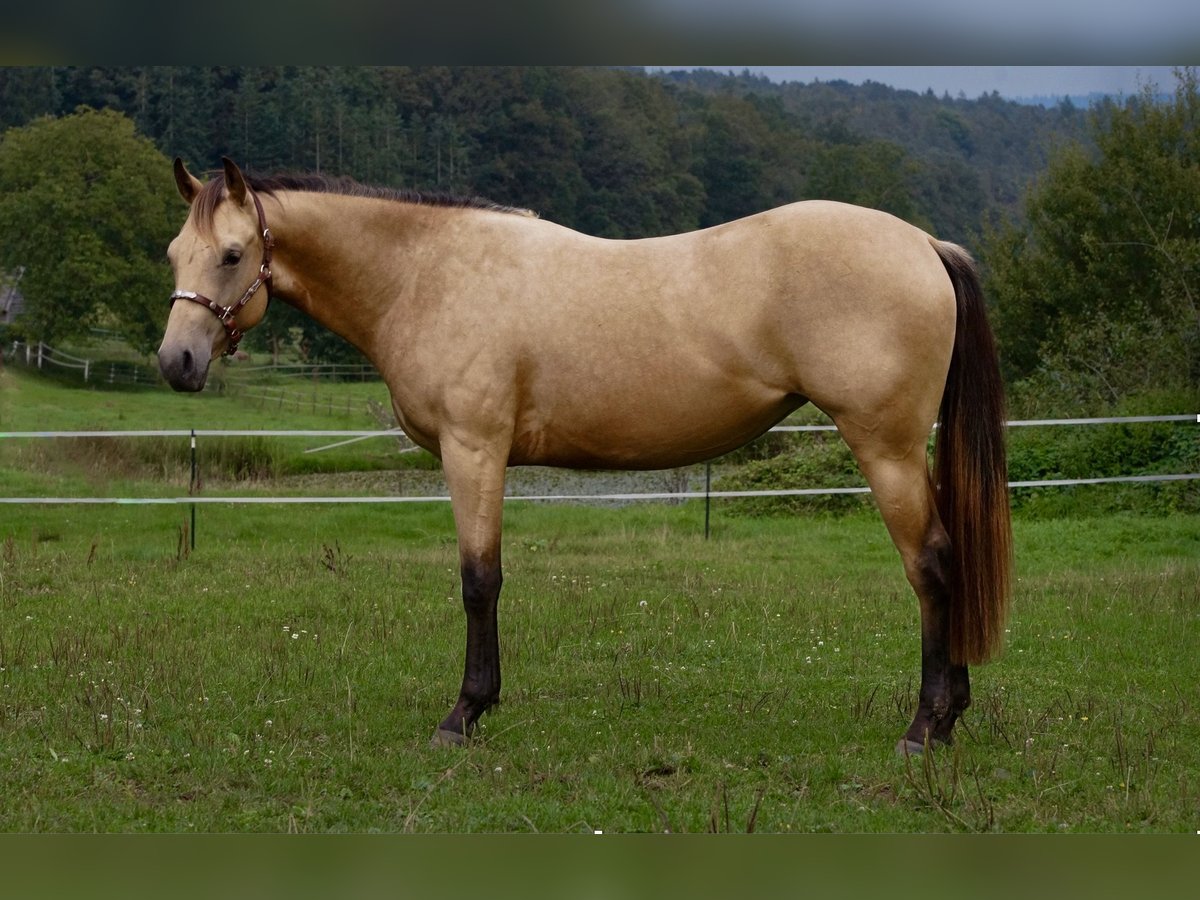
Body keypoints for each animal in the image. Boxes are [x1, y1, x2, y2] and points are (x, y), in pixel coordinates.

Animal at [154, 157, 1008, 753]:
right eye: (173, 253)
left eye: (233, 254)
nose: (176, 363)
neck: (428, 272)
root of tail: (924, 244)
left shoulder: (473, 451)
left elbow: (480, 582)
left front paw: (464, 714)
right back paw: (951, 716)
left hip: (886, 447)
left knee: (932, 565)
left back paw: (924, 728)